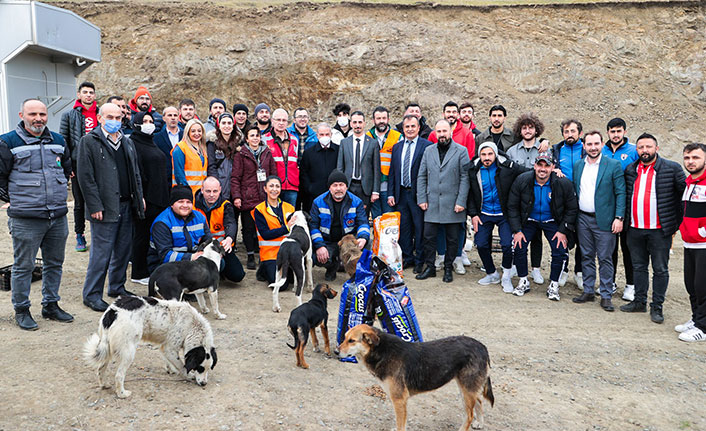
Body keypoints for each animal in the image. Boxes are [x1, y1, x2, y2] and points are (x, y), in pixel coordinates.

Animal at [82, 296, 216, 400]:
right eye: (200, 368)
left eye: (209, 369)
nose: (204, 384)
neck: (192, 326)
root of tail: (112, 312)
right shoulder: (170, 348)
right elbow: (182, 365)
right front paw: (188, 375)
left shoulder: (165, 347)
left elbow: (170, 362)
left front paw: (170, 369)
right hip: (129, 352)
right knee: (119, 375)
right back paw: (122, 394)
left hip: (107, 349)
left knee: (100, 369)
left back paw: (104, 385)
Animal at [338, 326, 492, 430]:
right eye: (344, 338)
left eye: (351, 341)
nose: (335, 351)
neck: (382, 351)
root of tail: (482, 347)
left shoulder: (399, 400)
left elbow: (400, 425)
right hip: (466, 388)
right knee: (479, 401)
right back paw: (480, 423)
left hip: (466, 390)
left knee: (469, 415)